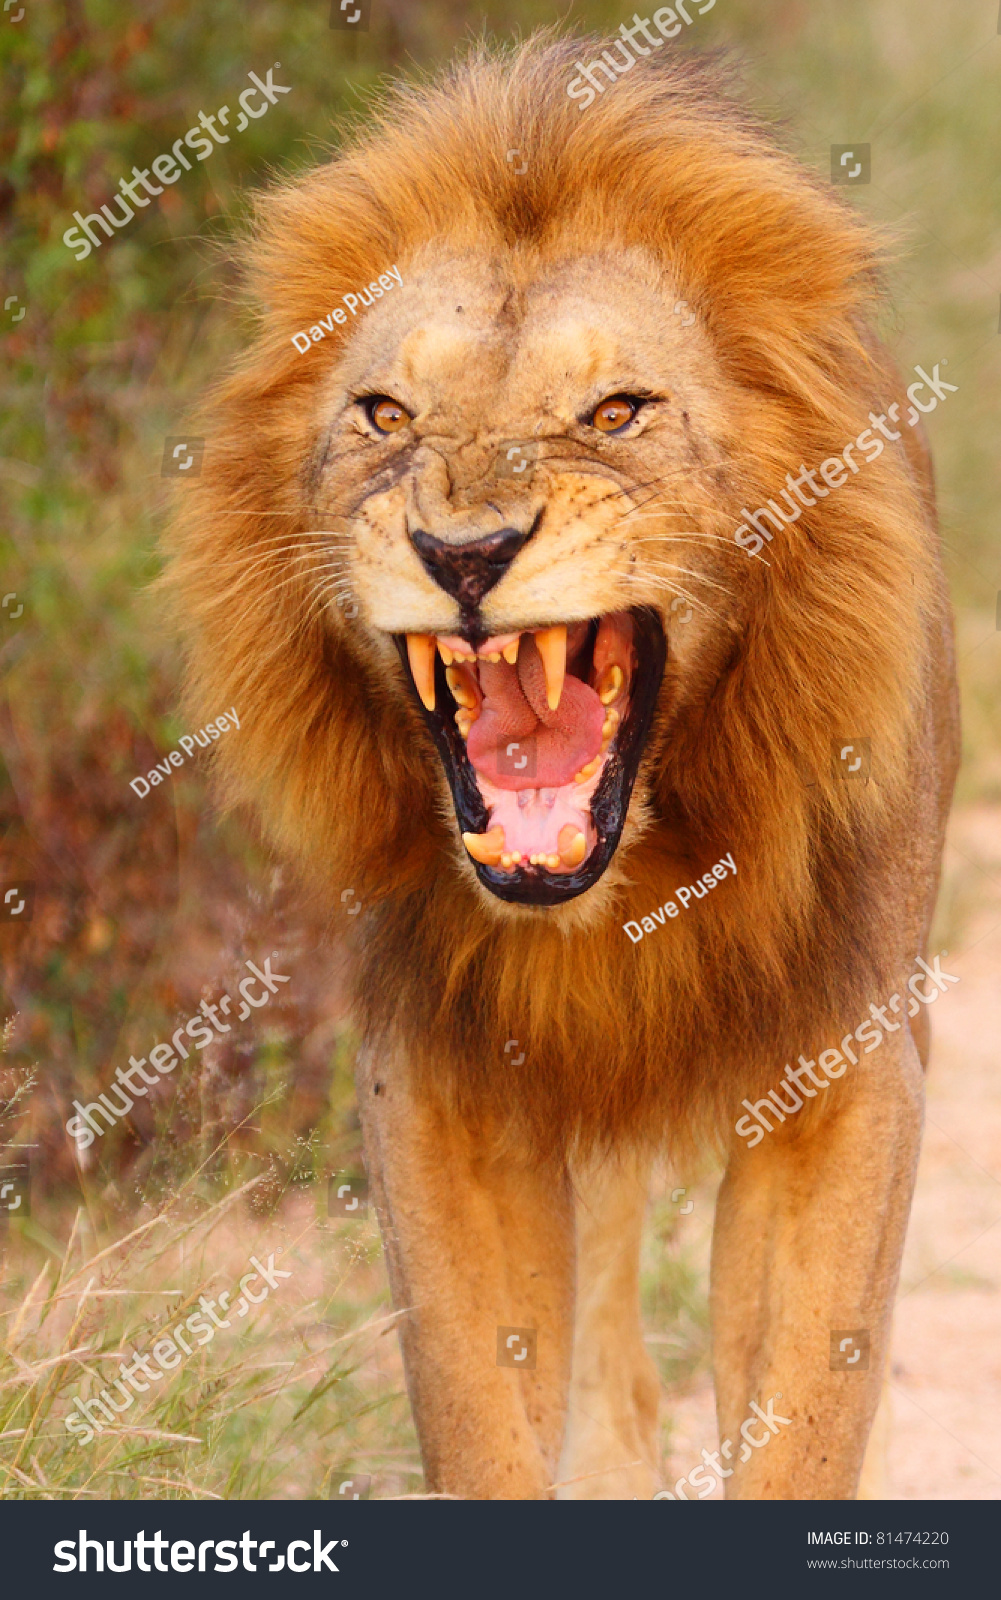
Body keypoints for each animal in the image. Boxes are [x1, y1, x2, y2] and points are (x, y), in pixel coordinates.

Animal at [165, 31, 959, 1491]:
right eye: (383, 414)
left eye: (617, 410)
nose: (465, 554)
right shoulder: (439, 1080)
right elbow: (481, 1404)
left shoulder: (846, 1068)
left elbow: (808, 1410)